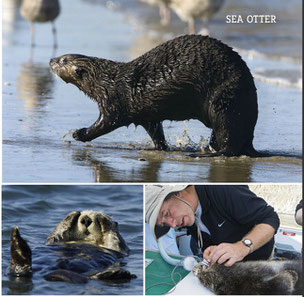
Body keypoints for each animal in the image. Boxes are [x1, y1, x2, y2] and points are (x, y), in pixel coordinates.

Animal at [8, 208, 137, 282]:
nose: (86, 219)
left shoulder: (120, 248)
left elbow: (114, 239)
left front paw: (103, 218)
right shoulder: (55, 241)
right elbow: (55, 234)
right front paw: (72, 214)